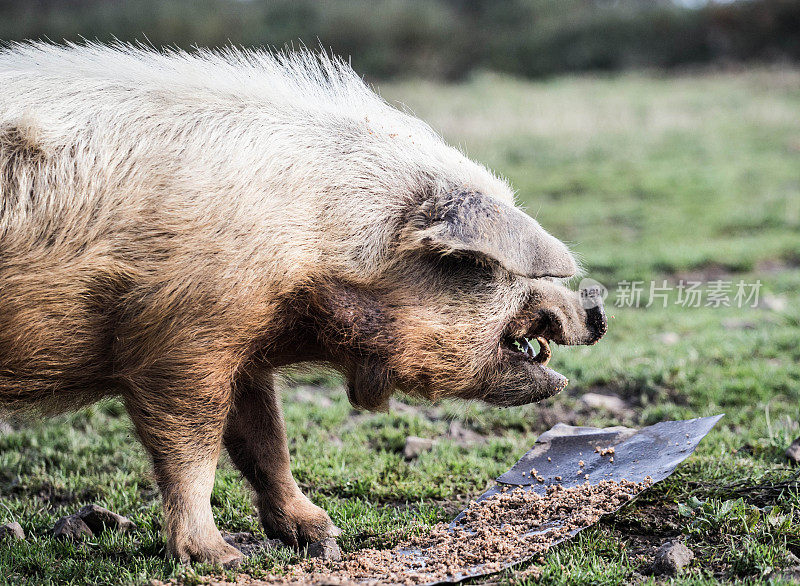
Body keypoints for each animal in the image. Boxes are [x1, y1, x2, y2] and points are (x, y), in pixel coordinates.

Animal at [0, 42, 608, 564]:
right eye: (485, 269)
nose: (595, 310)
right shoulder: (184, 339)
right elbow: (191, 447)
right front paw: (223, 559)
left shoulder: (242, 346)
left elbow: (265, 441)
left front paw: (322, 538)